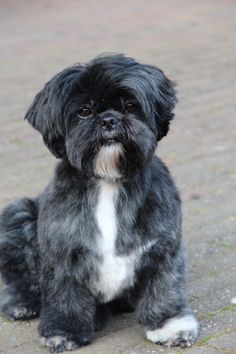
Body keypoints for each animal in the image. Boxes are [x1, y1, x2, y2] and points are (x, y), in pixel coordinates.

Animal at [0, 54, 198, 352]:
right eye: (83, 111)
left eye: (130, 106)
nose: (108, 120)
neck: (108, 182)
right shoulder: (63, 253)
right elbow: (64, 294)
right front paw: (64, 330)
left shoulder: (162, 247)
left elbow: (164, 286)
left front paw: (170, 324)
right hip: (18, 215)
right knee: (18, 278)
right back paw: (22, 303)